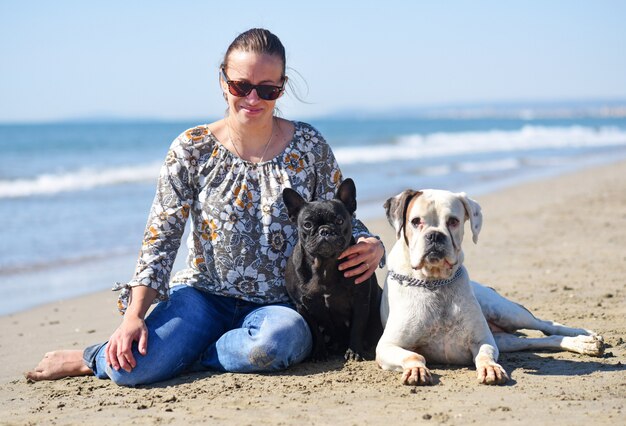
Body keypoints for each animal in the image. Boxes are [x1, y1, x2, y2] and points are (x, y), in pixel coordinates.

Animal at [372, 190, 604, 386]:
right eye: (415, 221)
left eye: (453, 221)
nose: (436, 235)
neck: (435, 282)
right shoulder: (387, 346)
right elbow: (414, 355)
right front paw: (416, 370)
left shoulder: (484, 340)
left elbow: (484, 355)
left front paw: (490, 368)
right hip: (506, 340)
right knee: (543, 340)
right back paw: (584, 344)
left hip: (506, 312)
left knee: (546, 324)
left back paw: (584, 336)